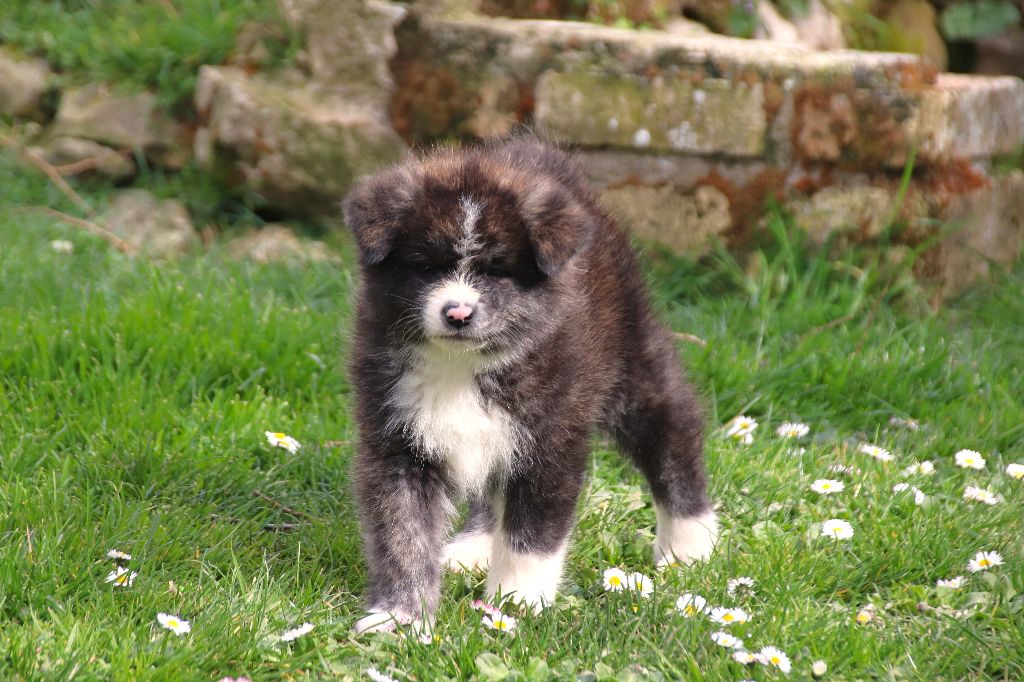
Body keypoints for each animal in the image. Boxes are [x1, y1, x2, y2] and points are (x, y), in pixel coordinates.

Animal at [339, 137, 716, 630]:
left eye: (497, 271)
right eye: (426, 267)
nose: (458, 313)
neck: (462, 365)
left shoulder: (550, 439)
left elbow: (530, 534)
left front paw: (516, 603)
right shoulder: (398, 441)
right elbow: (402, 534)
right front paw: (400, 618)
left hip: (632, 360)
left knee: (674, 430)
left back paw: (690, 542)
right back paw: (475, 547)